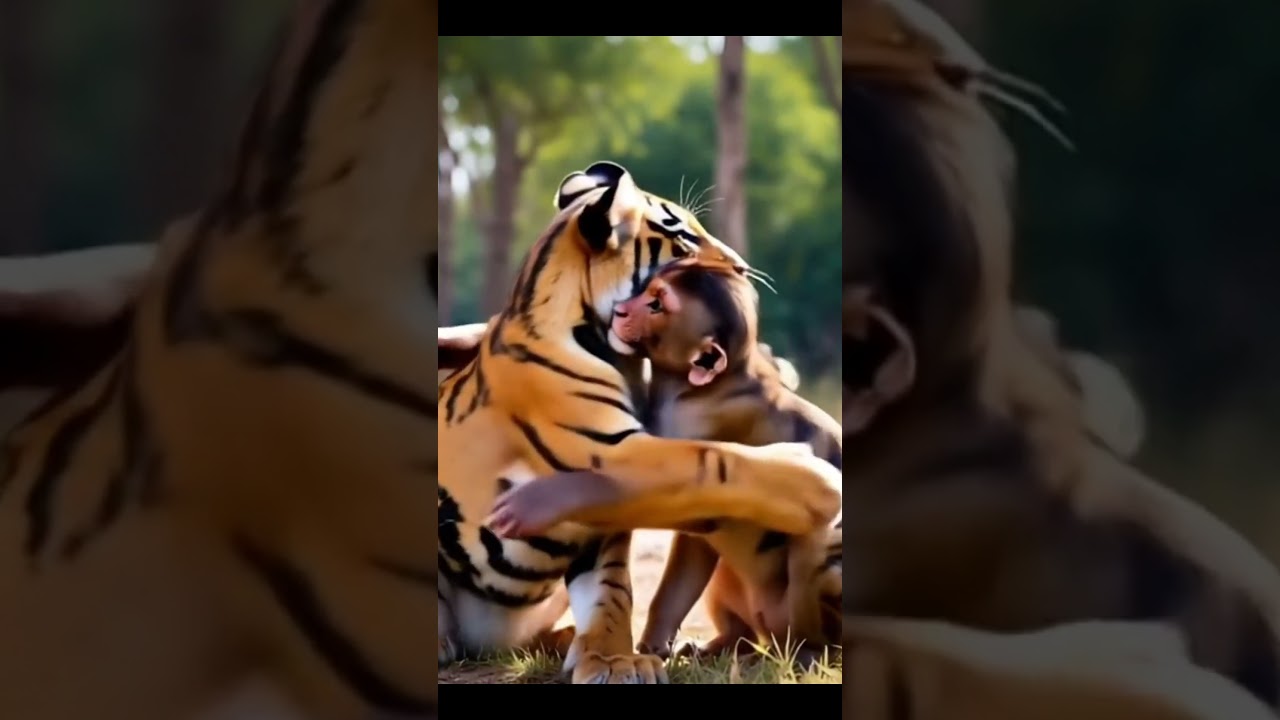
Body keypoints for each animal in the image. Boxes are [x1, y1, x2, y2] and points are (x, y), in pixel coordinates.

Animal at [436, 161, 843, 684]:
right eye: (684, 238)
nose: (740, 267)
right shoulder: (607, 447)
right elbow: (709, 461)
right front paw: (814, 477)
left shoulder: (606, 520)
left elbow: (612, 590)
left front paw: (612, 659)